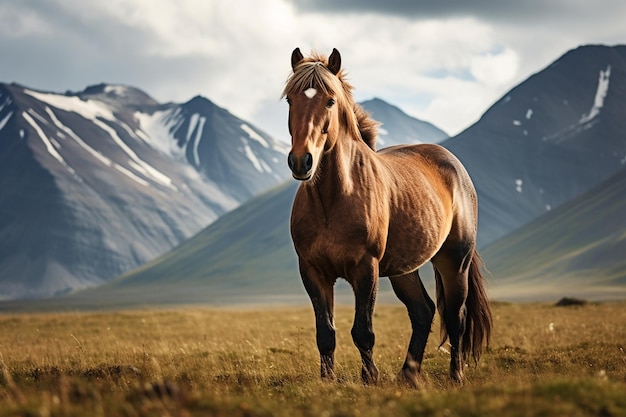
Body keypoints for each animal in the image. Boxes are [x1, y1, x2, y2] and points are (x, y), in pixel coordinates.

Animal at [280, 47, 490, 386]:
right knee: (423, 311)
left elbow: (363, 332)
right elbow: (325, 333)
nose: (302, 161)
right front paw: (327, 381)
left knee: (456, 317)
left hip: (454, 261)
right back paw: (408, 374)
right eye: (290, 99)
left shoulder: (366, 269)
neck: (332, 201)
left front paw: (370, 379)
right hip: (404, 269)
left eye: (330, 101)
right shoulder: (313, 271)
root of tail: (454, 165)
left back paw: (455, 376)